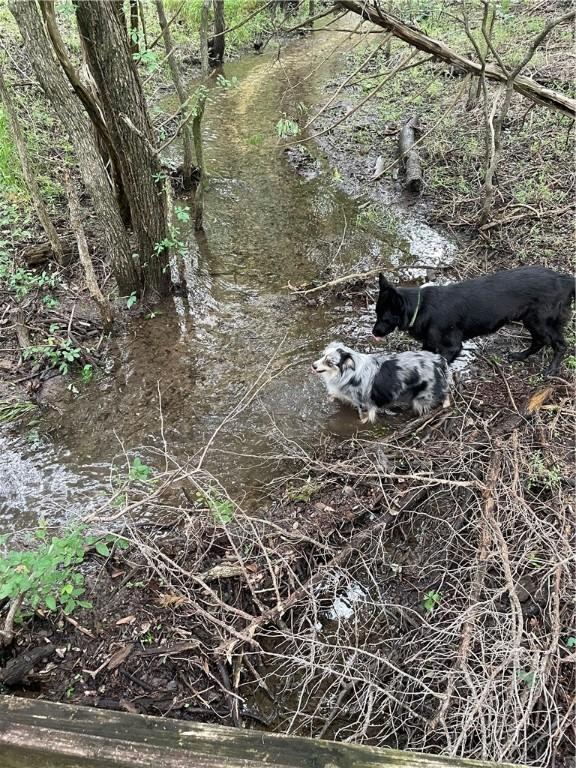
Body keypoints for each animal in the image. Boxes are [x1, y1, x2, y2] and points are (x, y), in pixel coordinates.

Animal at [372, 266, 572, 374]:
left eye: (384, 317)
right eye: (376, 313)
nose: (374, 332)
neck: (420, 307)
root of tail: (566, 280)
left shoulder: (452, 347)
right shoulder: (429, 344)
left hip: (540, 322)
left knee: (560, 345)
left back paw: (552, 369)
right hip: (531, 321)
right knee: (539, 341)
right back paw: (520, 355)